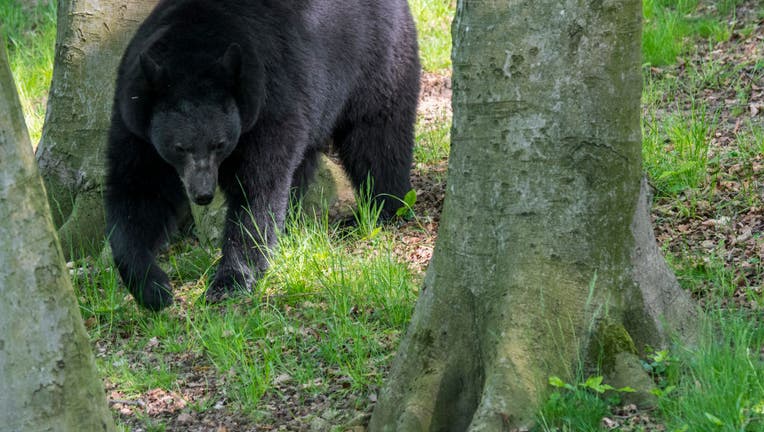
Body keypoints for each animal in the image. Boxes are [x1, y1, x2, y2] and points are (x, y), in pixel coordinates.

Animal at [104, 0, 420, 310]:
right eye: (179, 147)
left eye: (219, 143)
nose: (203, 194)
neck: (194, 42)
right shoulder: (137, 122)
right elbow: (139, 192)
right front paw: (152, 287)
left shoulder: (268, 102)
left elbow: (257, 189)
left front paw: (229, 281)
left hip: (376, 61)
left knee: (378, 139)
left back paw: (383, 209)